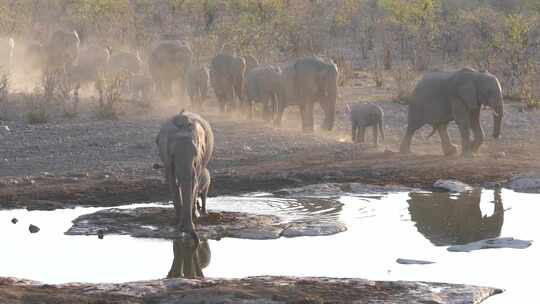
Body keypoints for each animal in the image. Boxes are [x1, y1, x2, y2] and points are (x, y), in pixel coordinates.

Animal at [155, 110, 214, 241]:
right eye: (172, 154)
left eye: (195, 154)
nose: (195, 236)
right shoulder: (167, 158)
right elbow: (172, 182)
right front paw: (176, 222)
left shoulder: (199, 158)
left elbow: (193, 182)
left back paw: (196, 214)